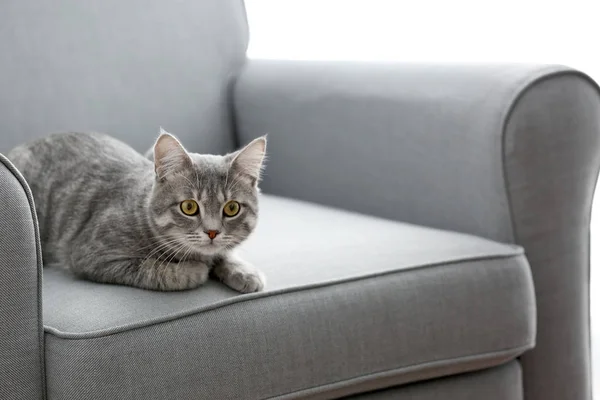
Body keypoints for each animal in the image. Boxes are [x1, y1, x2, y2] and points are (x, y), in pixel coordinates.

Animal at [8, 130, 266, 292]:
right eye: (189, 207)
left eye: (231, 208)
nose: (212, 232)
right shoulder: (91, 255)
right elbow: (152, 268)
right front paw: (193, 270)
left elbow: (225, 253)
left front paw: (243, 271)